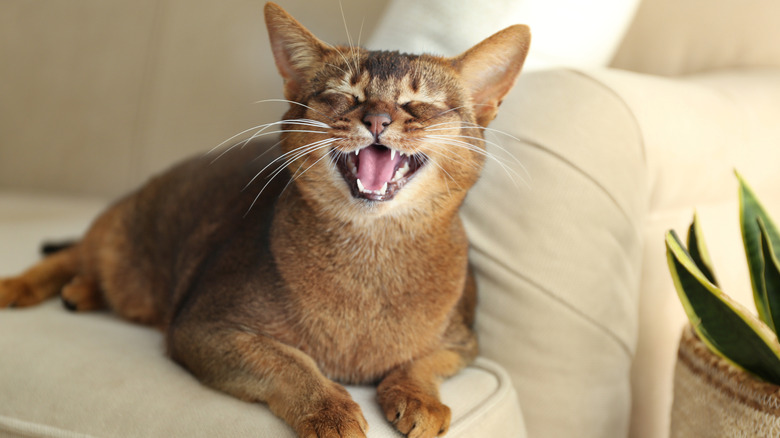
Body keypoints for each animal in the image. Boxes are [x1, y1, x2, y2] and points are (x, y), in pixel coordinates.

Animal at [0, 3, 532, 438]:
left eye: (417, 104)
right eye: (344, 95)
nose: (378, 120)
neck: (370, 256)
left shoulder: (466, 343)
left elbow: (422, 363)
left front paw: (418, 397)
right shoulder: (203, 327)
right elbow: (288, 361)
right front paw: (329, 411)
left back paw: (83, 293)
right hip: (122, 232)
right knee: (75, 251)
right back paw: (24, 286)